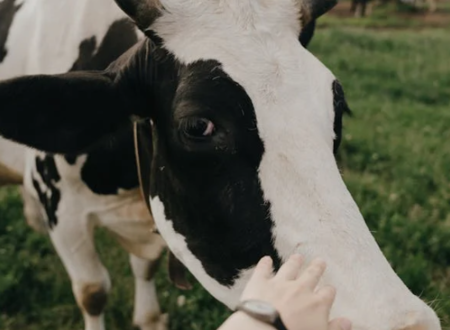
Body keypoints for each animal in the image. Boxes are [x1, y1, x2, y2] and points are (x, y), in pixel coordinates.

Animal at [0, 0, 442, 330]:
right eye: (198, 126)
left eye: (338, 108)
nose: (405, 322)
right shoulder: (63, 211)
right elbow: (93, 291)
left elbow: (145, 278)